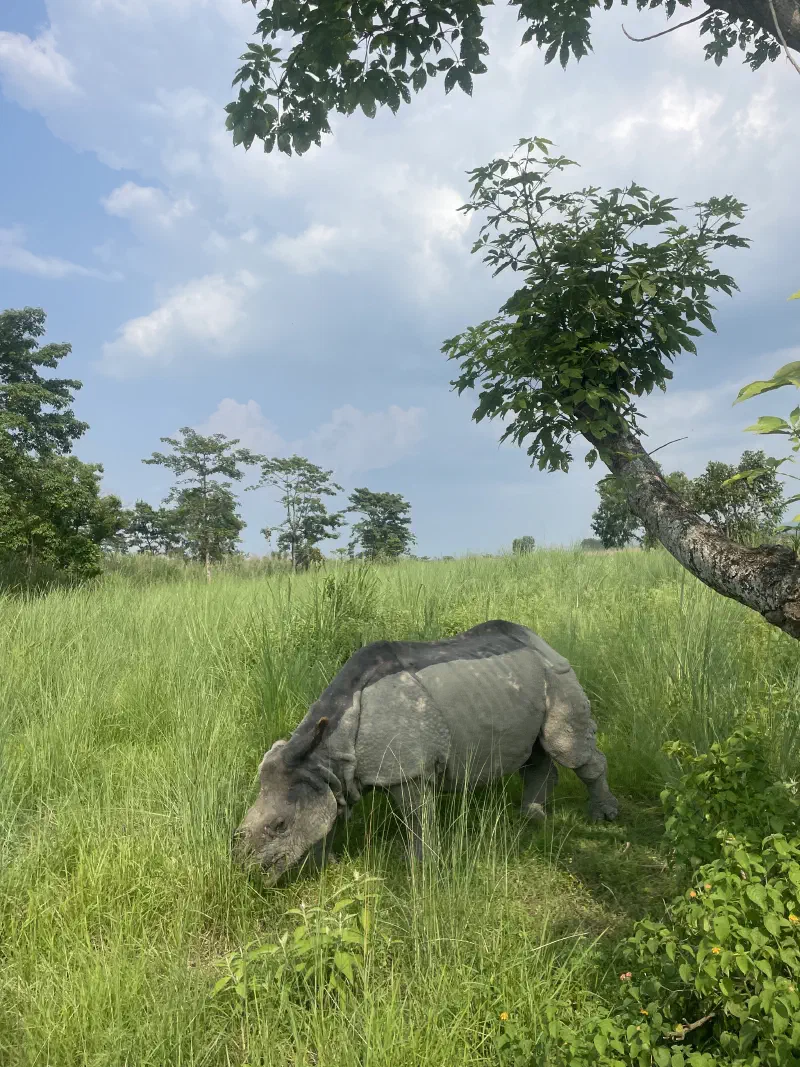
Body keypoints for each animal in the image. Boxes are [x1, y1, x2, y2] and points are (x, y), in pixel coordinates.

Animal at [233, 620, 617, 881]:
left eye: (280, 826)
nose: (248, 873)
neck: (325, 751)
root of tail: (540, 639)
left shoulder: (409, 771)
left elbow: (416, 817)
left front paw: (417, 866)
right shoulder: (324, 776)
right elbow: (328, 818)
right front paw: (320, 866)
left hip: (558, 673)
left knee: (568, 749)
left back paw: (603, 816)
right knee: (535, 753)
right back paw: (531, 819)